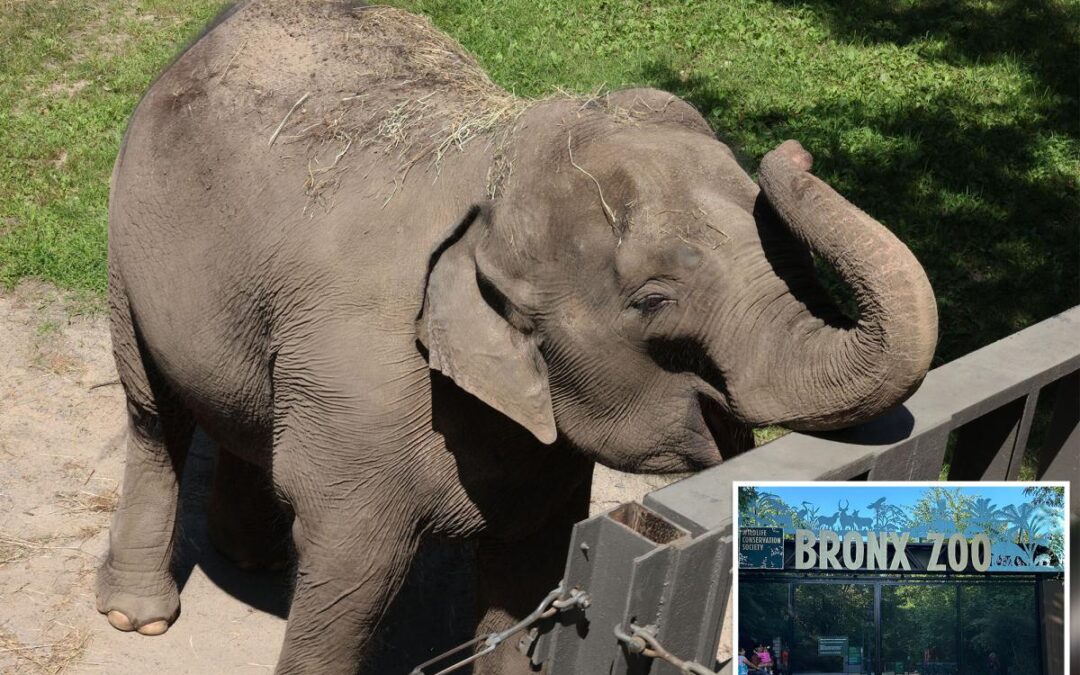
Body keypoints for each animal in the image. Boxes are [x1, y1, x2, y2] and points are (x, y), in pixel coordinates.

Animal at [97, 1, 938, 673]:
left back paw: (257, 557)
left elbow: (531, 568)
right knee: (153, 414)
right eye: (653, 299)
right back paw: (138, 616)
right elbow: (350, 573)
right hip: (126, 249)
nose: (797, 151)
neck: (493, 170)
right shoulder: (355, 394)